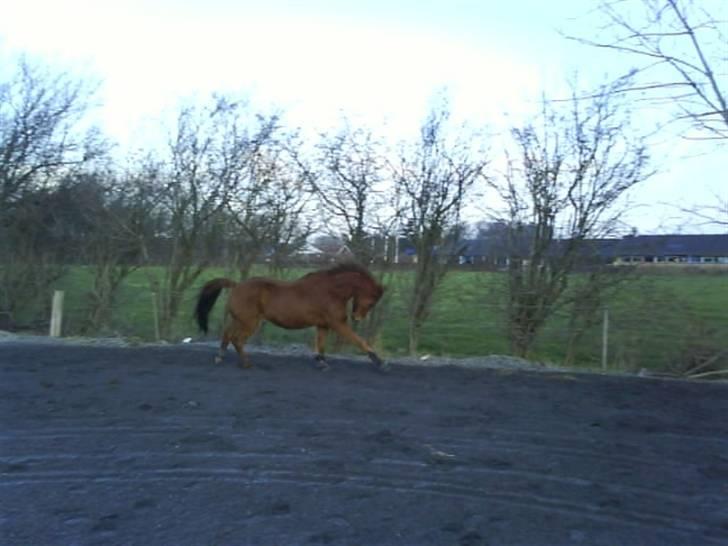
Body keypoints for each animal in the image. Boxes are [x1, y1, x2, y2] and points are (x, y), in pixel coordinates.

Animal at [192, 262, 386, 370]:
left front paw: (322, 363)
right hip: (250, 322)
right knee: (237, 339)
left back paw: (220, 357)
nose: (357, 318)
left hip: (239, 320)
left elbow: (321, 345)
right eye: (372, 301)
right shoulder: (337, 323)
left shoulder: (323, 325)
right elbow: (359, 341)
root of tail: (237, 285)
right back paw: (246, 364)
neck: (332, 291)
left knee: (227, 334)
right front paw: (380, 363)